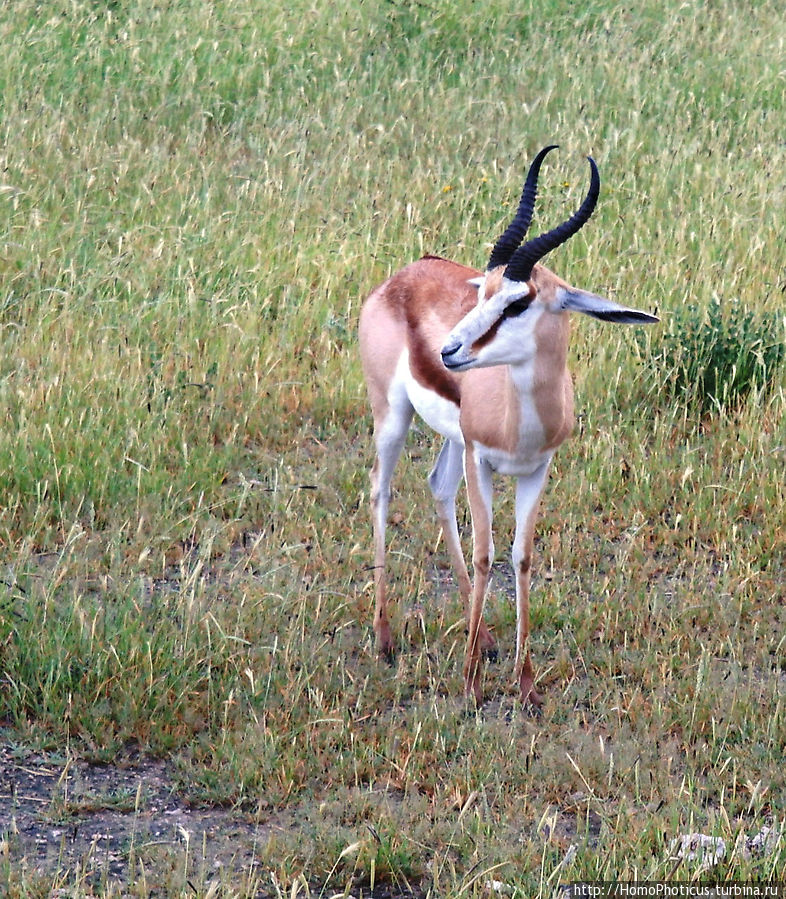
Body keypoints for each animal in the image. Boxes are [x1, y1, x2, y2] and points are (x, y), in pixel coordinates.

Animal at [358, 146, 652, 712]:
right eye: (483, 292)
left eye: (518, 302)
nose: (449, 351)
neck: (523, 422)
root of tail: (404, 274)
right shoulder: (483, 460)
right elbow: (484, 555)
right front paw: (471, 686)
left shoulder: (536, 470)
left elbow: (521, 558)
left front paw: (527, 684)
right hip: (393, 416)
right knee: (381, 489)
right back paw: (384, 640)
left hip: (453, 441)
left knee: (437, 486)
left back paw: (489, 640)